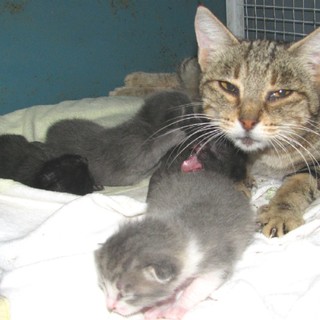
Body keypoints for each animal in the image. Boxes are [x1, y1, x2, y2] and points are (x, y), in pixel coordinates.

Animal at [45, 90, 195, 186]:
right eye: (191, 112)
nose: (198, 115)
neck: (145, 123)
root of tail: (47, 137)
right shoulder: (135, 150)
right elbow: (154, 149)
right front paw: (177, 135)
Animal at [94, 170, 254, 318]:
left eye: (124, 295)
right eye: (103, 286)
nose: (110, 307)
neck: (179, 229)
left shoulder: (217, 264)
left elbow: (195, 289)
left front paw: (177, 307)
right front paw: (162, 304)